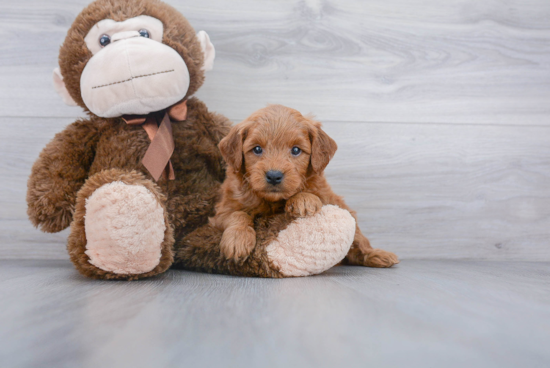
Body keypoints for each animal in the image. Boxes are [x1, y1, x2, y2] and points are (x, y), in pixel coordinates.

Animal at [212, 103, 402, 268]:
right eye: (257, 149)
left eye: (296, 150)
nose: (274, 176)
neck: (273, 201)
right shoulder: (221, 212)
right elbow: (237, 215)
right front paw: (237, 240)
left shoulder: (327, 197)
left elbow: (312, 194)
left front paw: (303, 200)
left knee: (359, 241)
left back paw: (376, 254)